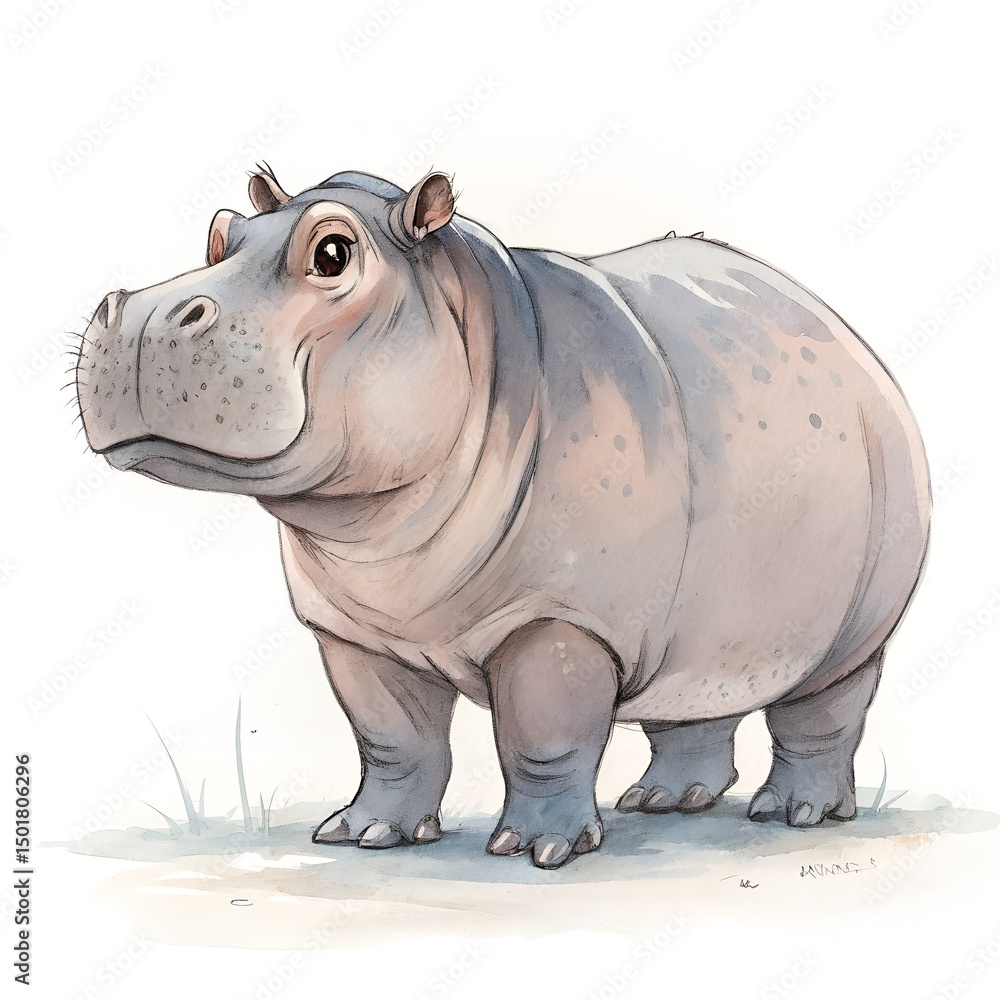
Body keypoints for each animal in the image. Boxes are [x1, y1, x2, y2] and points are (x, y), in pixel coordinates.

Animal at [74, 166, 930, 869]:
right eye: (220, 232)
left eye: (332, 253)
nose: (143, 314)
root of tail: (839, 328)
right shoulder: (353, 632)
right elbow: (391, 738)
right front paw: (365, 835)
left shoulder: (561, 620)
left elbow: (543, 735)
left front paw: (535, 850)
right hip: (696, 615)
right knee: (689, 703)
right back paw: (663, 802)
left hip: (857, 619)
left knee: (824, 710)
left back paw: (794, 815)